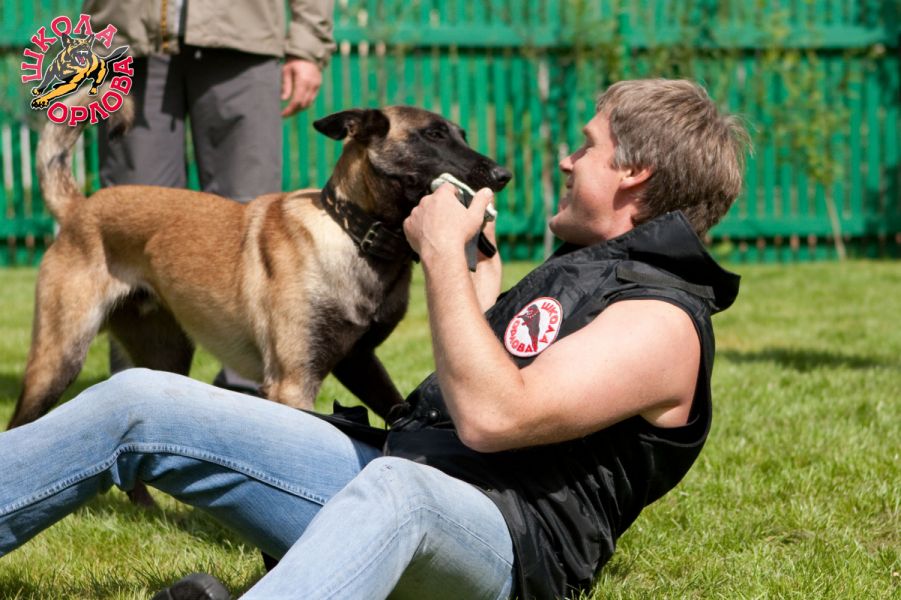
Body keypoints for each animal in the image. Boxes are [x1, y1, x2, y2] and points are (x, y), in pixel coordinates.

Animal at [8, 98, 512, 431]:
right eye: (433, 135)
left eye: (462, 134)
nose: (504, 174)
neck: (354, 234)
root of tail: (79, 207)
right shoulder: (293, 384)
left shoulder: (359, 362)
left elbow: (395, 407)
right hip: (58, 358)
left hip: (164, 356)